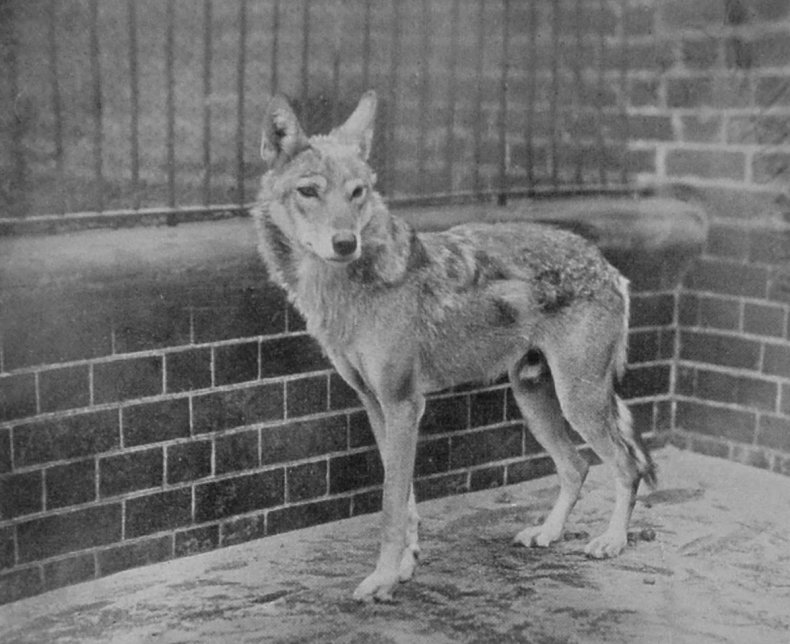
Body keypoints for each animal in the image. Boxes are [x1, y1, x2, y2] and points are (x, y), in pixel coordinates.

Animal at [252, 91, 656, 602]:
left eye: (356, 193)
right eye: (309, 191)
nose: (345, 242)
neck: (345, 287)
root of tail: (608, 266)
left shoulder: (404, 405)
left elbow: (390, 508)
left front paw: (382, 579)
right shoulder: (378, 407)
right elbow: (405, 503)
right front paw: (405, 566)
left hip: (578, 402)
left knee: (626, 466)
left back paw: (612, 541)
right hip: (535, 400)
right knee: (576, 466)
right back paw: (548, 532)